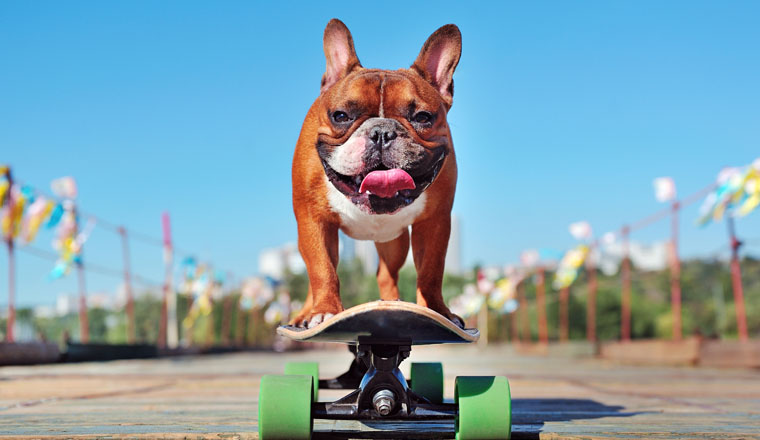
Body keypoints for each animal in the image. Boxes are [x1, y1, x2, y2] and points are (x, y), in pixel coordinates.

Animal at [290, 18, 460, 328]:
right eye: (340, 116)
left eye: (422, 117)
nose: (382, 132)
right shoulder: (313, 219)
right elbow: (321, 268)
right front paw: (323, 310)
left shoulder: (435, 222)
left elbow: (431, 270)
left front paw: (437, 311)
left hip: (394, 243)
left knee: (386, 274)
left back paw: (391, 305)